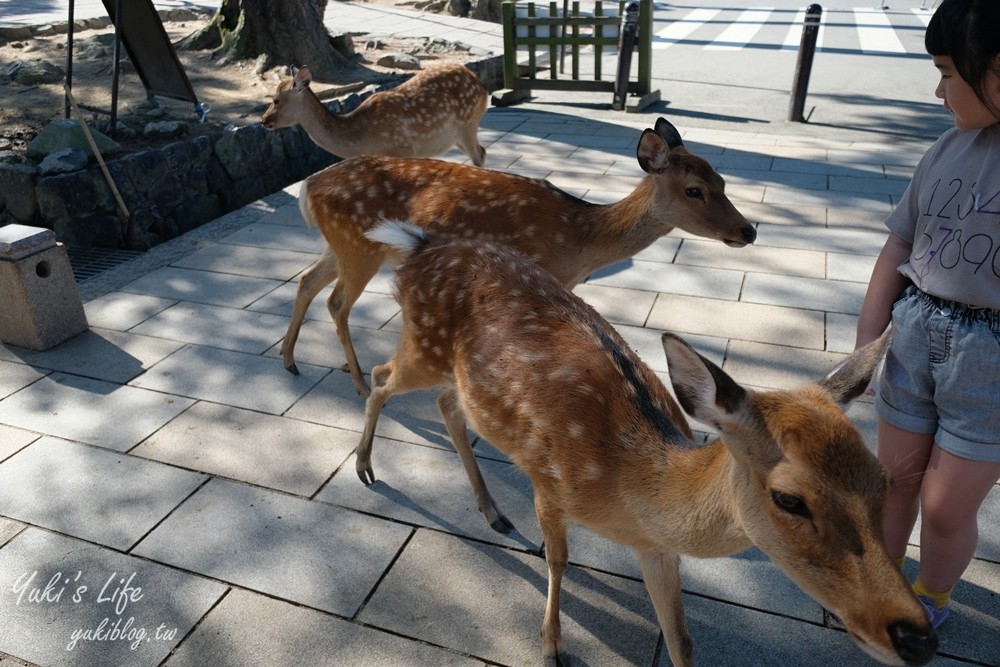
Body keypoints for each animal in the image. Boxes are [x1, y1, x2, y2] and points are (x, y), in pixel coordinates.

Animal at [262, 63, 488, 167]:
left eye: (276, 100)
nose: (264, 121)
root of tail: (482, 86)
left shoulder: (404, 148)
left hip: (468, 123)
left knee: (478, 156)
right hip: (455, 137)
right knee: (483, 151)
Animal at [278, 116, 752, 396]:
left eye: (723, 179)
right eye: (694, 189)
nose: (748, 230)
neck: (578, 239)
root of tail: (308, 187)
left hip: (341, 244)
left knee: (306, 280)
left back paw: (290, 362)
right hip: (358, 248)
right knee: (336, 302)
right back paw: (358, 382)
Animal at [356, 223, 940, 667]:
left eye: (884, 481)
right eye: (789, 498)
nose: (919, 638)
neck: (626, 490)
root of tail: (416, 244)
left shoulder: (657, 548)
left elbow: (681, 641)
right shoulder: (548, 480)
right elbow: (559, 560)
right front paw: (552, 648)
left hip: (454, 373)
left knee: (446, 405)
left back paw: (494, 513)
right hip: (423, 345)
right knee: (383, 378)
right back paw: (364, 468)